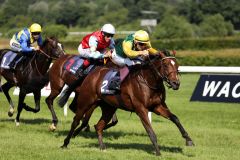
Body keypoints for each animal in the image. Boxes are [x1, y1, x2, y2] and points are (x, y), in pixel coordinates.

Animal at [61, 51, 194, 156]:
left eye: (177, 65)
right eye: (165, 65)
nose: (176, 83)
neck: (148, 81)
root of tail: (91, 74)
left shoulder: (157, 106)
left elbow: (175, 118)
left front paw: (188, 139)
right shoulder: (141, 109)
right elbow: (150, 131)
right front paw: (157, 152)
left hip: (109, 108)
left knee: (98, 126)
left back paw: (102, 147)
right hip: (86, 102)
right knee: (76, 121)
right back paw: (65, 143)